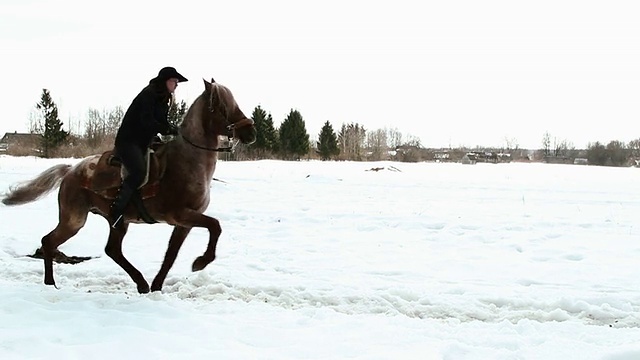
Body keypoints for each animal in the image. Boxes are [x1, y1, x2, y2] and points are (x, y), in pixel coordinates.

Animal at [3, 78, 258, 292]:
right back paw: (50, 283)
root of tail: (70, 171)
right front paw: (200, 263)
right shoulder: (180, 214)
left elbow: (171, 255)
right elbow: (215, 226)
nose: (251, 132)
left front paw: (157, 286)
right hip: (74, 219)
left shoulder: (183, 223)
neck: (188, 160)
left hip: (117, 221)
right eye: (222, 106)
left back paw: (142, 284)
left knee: (111, 250)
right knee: (50, 241)